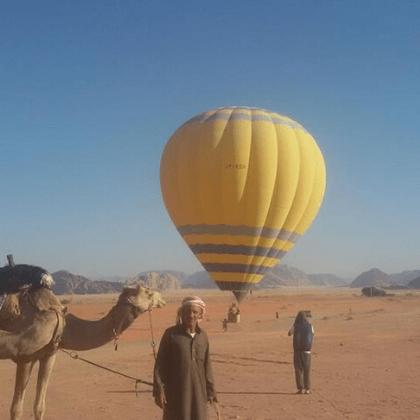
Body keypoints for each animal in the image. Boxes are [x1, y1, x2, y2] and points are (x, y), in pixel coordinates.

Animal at [0, 284, 167, 418]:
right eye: (148, 292)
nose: (163, 299)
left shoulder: (49, 356)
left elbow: (39, 407)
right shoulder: (25, 358)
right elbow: (16, 410)